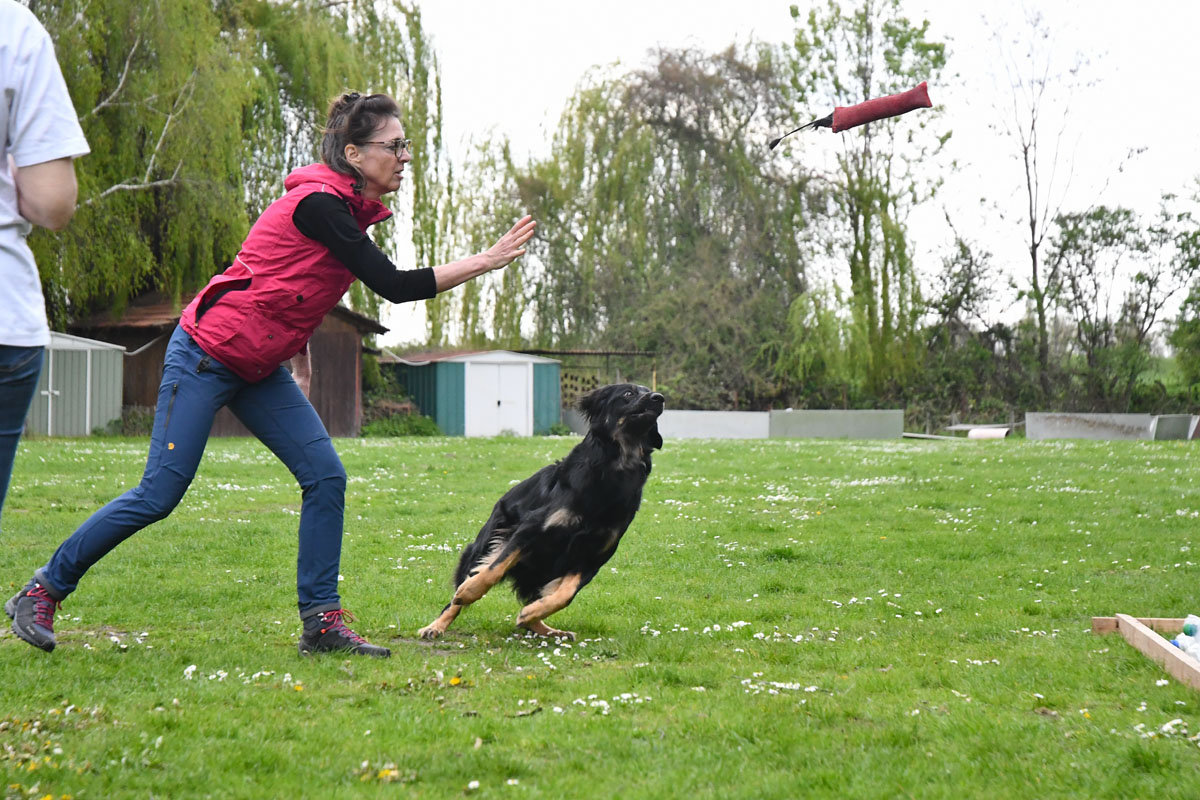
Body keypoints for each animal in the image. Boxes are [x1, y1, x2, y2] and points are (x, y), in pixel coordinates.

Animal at [417, 383, 667, 642]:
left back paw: (543, 626)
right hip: (485, 545)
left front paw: (531, 613)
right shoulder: (531, 529)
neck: (617, 467)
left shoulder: (595, 554)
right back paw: (437, 625)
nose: (659, 398)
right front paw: (469, 591)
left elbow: (565, 595)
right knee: (458, 596)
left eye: (648, 391)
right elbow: (493, 570)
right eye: (628, 393)